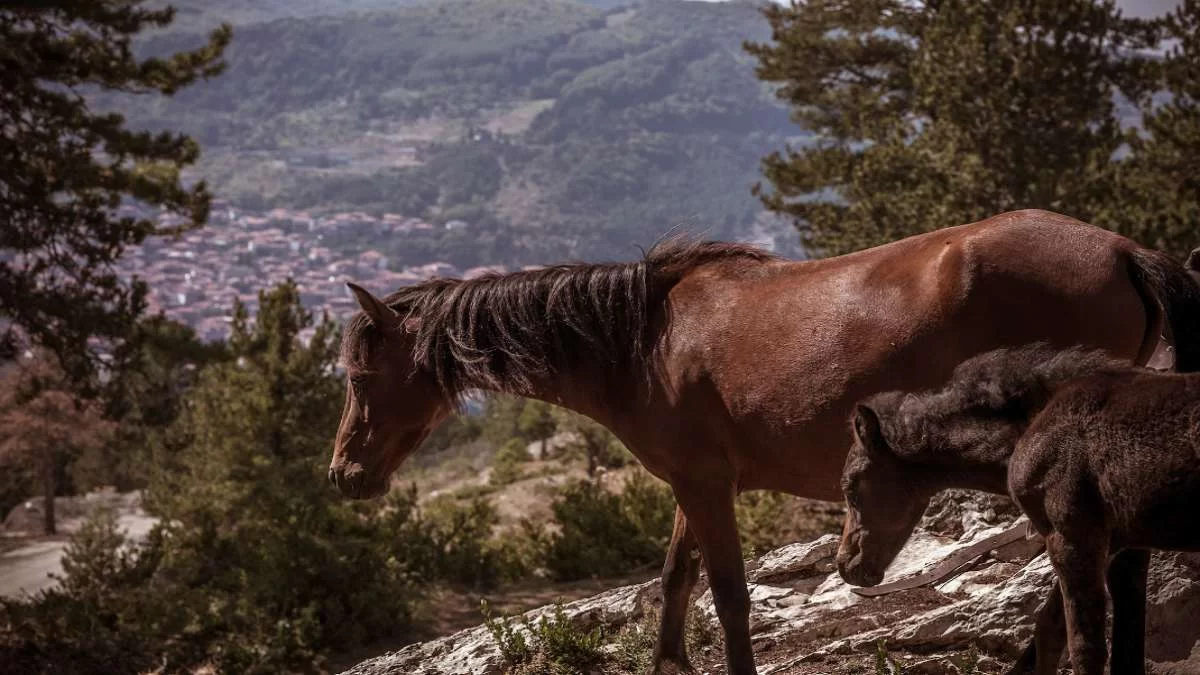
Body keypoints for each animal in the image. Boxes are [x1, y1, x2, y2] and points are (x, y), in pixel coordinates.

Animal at [835, 345, 1200, 672]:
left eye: (851, 487)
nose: (846, 564)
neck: (1034, 427)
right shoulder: (1118, 546)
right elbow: (1056, 631)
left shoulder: (1071, 537)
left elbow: (1084, 647)